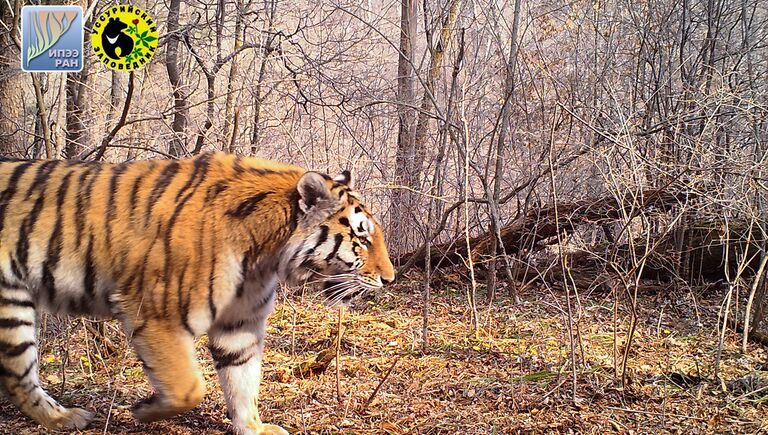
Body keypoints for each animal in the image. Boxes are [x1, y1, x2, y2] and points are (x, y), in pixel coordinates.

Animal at [0, 152, 396, 434]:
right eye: (362, 237)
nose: (390, 279)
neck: (265, 255)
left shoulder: (240, 322)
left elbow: (243, 380)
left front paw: (254, 427)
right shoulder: (156, 313)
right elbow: (189, 386)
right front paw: (144, 410)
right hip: (10, 303)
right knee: (17, 376)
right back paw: (65, 419)